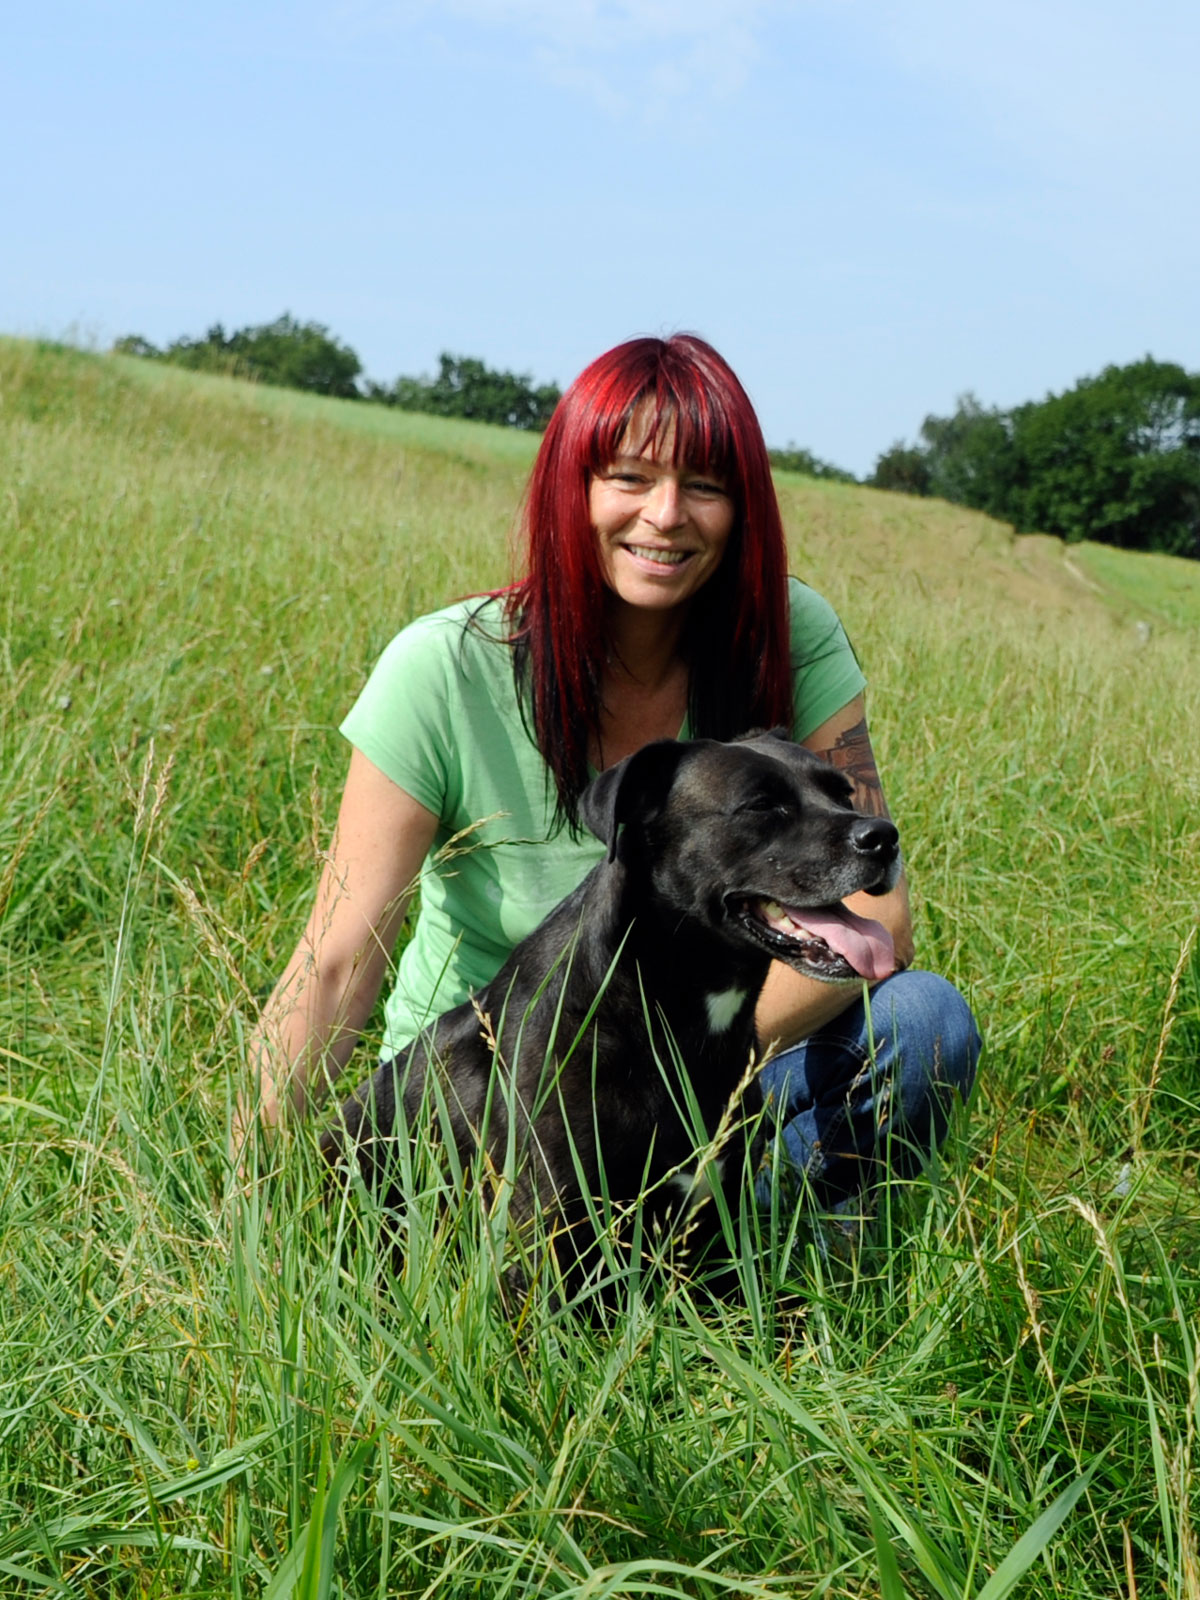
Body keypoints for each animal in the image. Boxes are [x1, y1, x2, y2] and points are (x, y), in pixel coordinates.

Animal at [321, 732, 902, 1299]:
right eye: (762, 805)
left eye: (844, 794)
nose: (884, 836)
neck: (662, 1011)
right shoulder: (545, 1238)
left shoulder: (720, 1230)